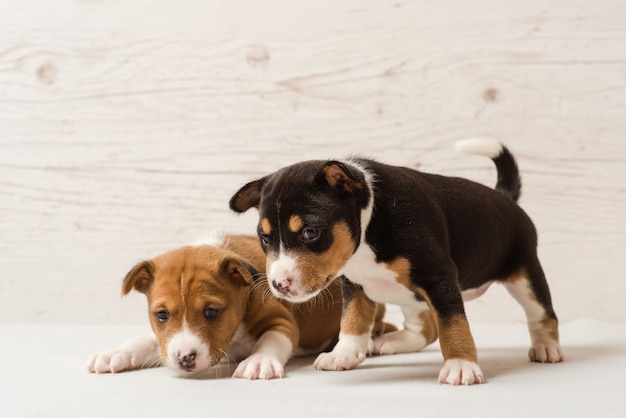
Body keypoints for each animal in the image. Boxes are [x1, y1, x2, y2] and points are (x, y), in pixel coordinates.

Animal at [86, 235, 390, 378]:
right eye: (161, 314)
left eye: (212, 312)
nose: (185, 358)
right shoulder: (164, 338)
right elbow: (144, 339)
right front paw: (116, 353)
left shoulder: (281, 321)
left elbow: (270, 340)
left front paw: (258, 362)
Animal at [227, 140, 564, 386]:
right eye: (265, 238)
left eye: (311, 232)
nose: (279, 285)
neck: (369, 227)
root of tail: (504, 197)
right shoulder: (355, 284)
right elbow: (352, 321)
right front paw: (344, 354)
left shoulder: (440, 279)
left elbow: (454, 326)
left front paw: (461, 365)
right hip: (407, 293)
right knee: (424, 327)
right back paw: (389, 341)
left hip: (525, 276)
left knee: (543, 315)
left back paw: (546, 347)